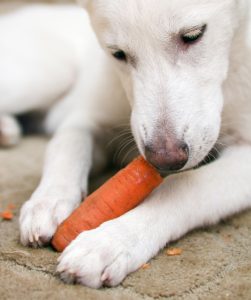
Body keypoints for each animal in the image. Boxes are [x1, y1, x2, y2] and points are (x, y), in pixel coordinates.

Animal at [0, 0, 251, 288]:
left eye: (193, 35)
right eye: (118, 54)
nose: (165, 160)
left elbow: (182, 186)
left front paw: (111, 242)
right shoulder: (84, 118)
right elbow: (68, 146)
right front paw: (47, 201)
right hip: (43, 76)